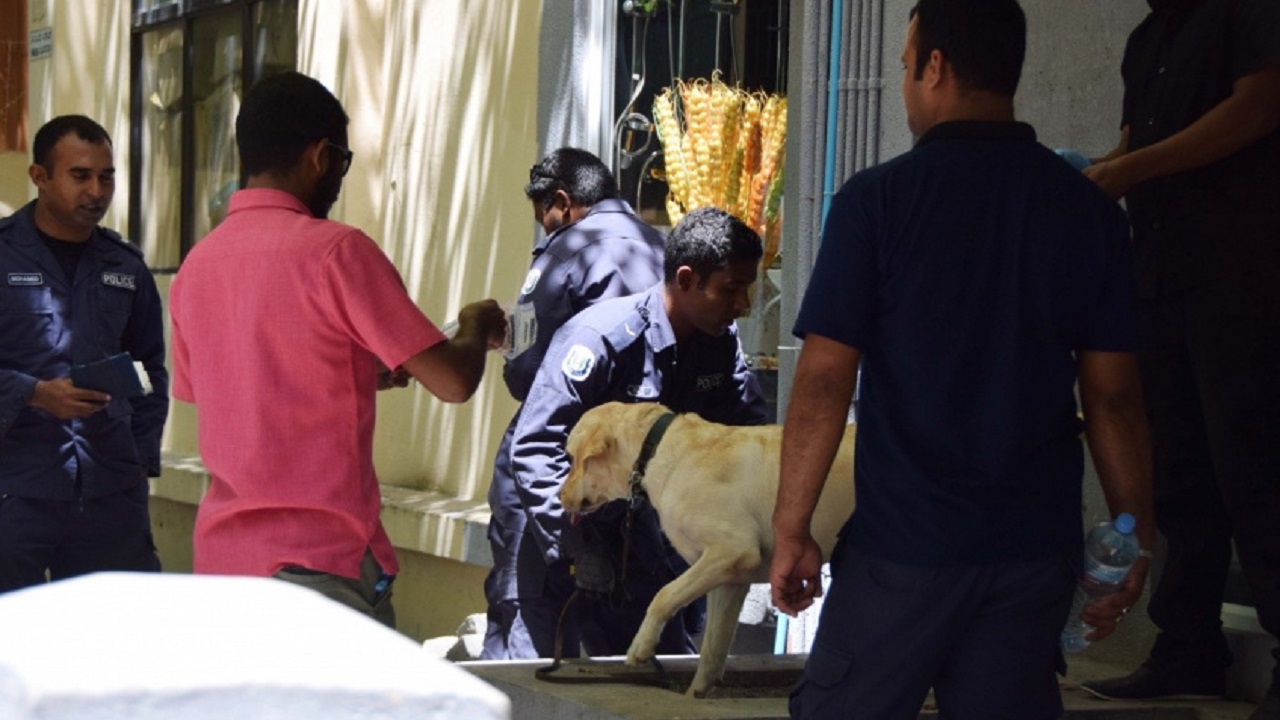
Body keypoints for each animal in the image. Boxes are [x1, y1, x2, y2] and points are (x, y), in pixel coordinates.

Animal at [563, 399, 855, 691]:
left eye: (573, 459)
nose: (559, 497)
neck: (658, 450)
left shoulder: (734, 549)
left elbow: (663, 595)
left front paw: (640, 646)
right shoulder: (730, 581)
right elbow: (712, 654)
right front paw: (696, 693)